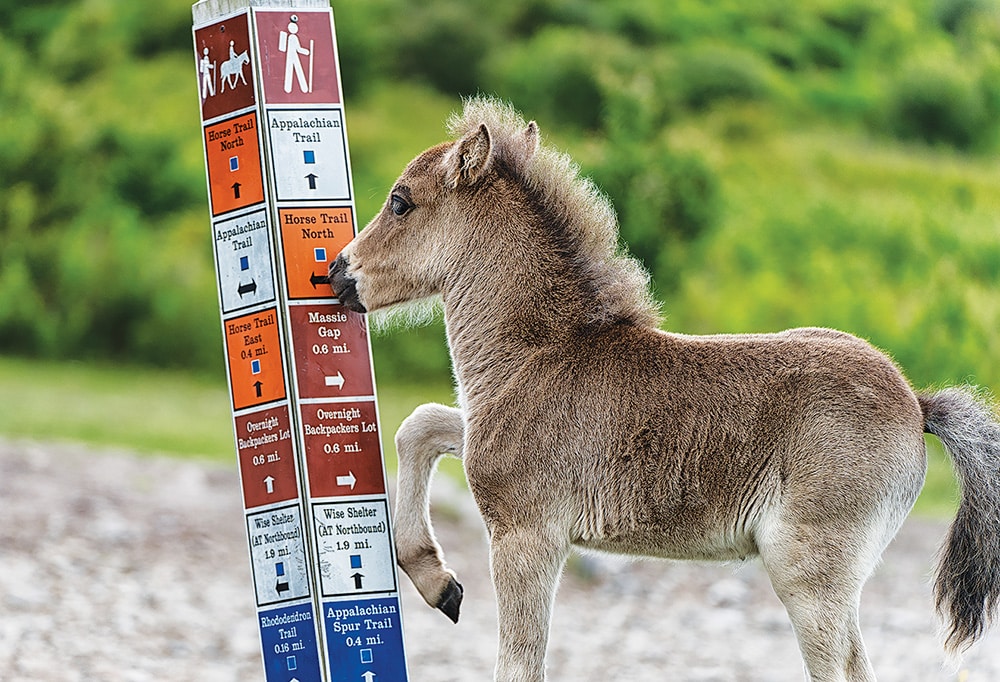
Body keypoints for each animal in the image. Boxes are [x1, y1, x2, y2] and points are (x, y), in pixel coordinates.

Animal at [328, 97, 1000, 682]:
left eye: (400, 202)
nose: (335, 272)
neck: (539, 354)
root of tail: (917, 404)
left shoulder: (527, 537)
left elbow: (518, 665)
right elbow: (418, 424)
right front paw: (439, 584)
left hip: (810, 577)